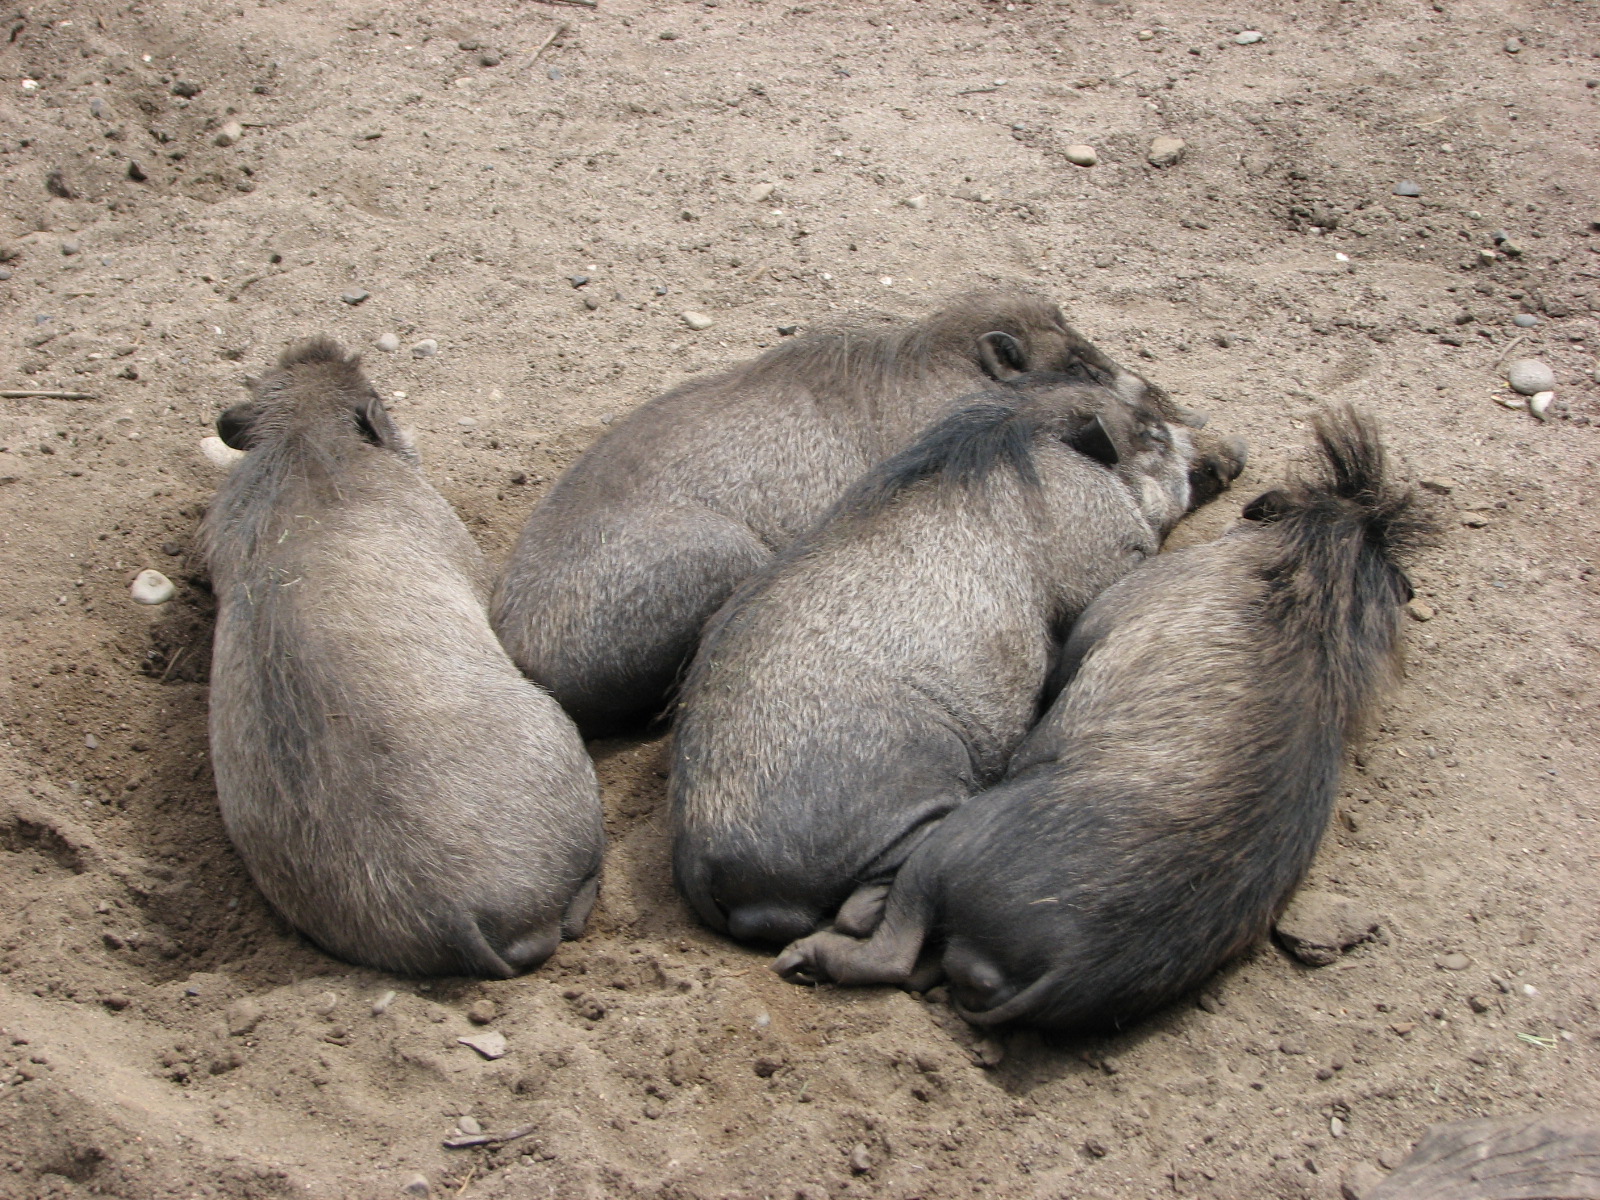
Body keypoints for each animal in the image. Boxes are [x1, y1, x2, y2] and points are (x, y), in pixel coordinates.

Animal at [774, 407, 1429, 1031]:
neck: (1308, 592)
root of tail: (1072, 966)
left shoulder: (1115, 605)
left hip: (948, 852)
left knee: (892, 953)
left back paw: (800, 958)